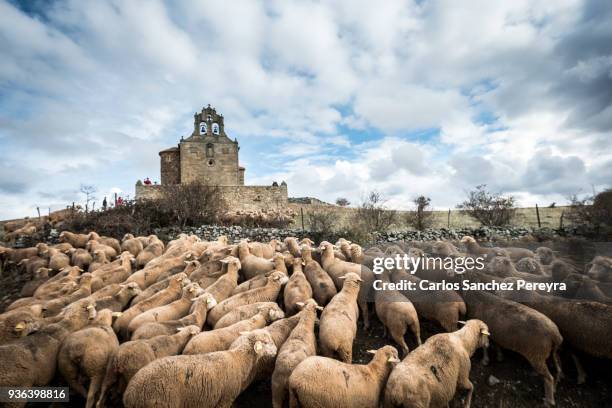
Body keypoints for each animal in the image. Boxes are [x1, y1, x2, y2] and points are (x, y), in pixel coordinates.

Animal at [124, 332, 278, 408]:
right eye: (265, 342)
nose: (276, 351)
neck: (239, 360)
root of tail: (130, 394)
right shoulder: (225, 399)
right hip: (160, 404)